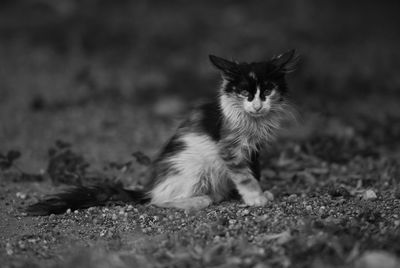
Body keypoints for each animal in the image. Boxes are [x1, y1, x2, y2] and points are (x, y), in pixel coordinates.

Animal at [26, 49, 296, 216]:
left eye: (268, 91)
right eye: (244, 93)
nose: (257, 106)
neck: (253, 122)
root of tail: (151, 188)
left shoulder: (255, 149)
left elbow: (254, 171)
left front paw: (260, 193)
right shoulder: (229, 148)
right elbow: (243, 175)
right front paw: (255, 198)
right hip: (194, 168)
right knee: (158, 201)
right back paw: (200, 199)